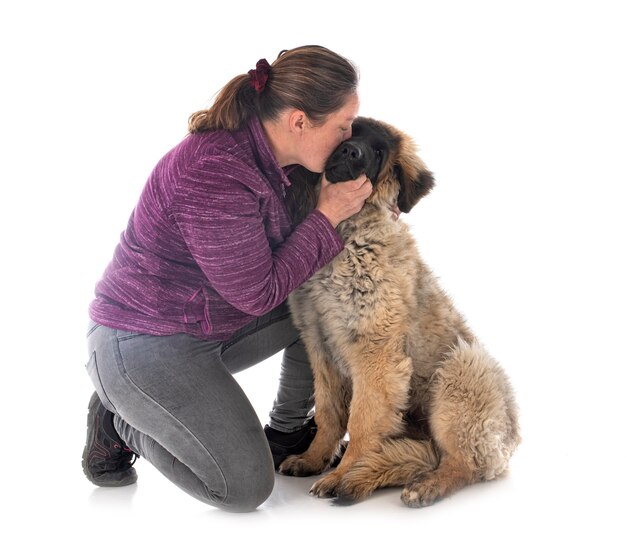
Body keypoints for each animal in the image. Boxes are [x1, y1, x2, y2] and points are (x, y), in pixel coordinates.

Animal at [280, 117, 520, 508]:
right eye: (350, 131)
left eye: (379, 152)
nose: (351, 151)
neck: (346, 234)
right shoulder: (319, 344)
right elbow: (329, 412)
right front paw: (313, 459)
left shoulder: (375, 352)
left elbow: (362, 420)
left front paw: (343, 473)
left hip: (462, 369)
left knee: (463, 462)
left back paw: (428, 486)